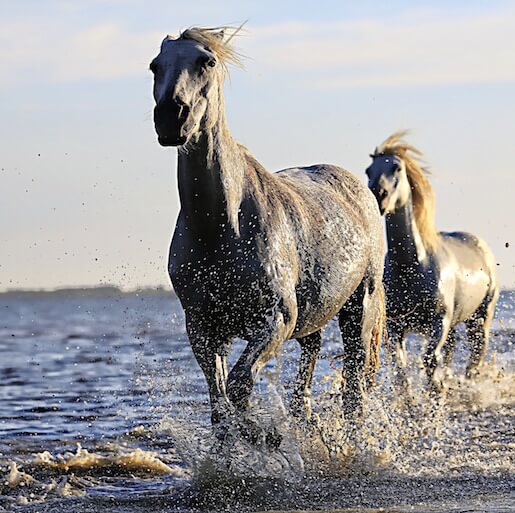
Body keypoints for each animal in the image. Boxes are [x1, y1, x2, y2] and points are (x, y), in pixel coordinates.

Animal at [366, 131, 500, 388]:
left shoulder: (439, 321)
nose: (378, 195)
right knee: (451, 350)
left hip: (480, 317)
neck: (411, 266)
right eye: (369, 170)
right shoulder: (396, 325)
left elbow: (430, 361)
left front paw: (436, 393)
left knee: (476, 355)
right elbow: (401, 368)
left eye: (397, 167)